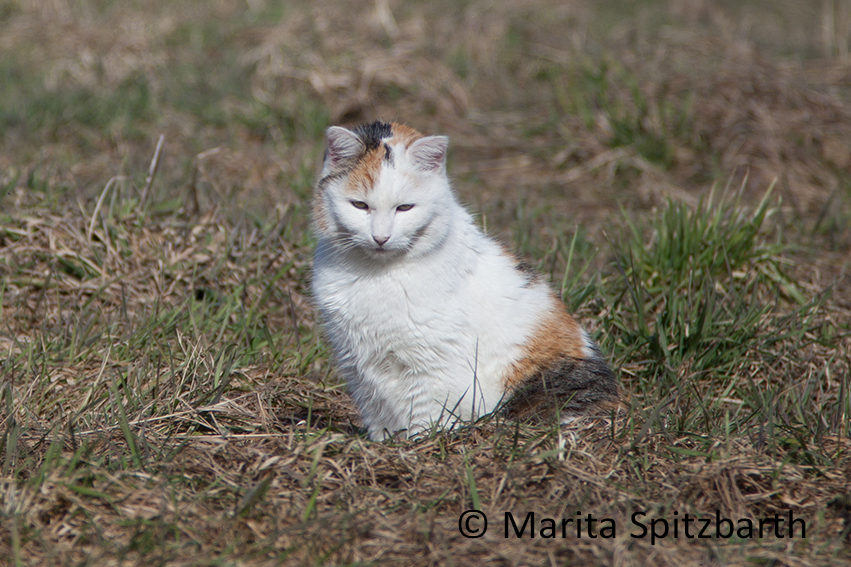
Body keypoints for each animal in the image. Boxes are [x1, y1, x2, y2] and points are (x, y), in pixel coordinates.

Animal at [310, 121, 616, 440]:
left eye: (404, 208)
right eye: (360, 205)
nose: (380, 237)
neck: (375, 275)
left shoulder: (433, 368)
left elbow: (427, 415)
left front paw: (420, 444)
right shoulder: (360, 368)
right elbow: (379, 417)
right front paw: (385, 444)